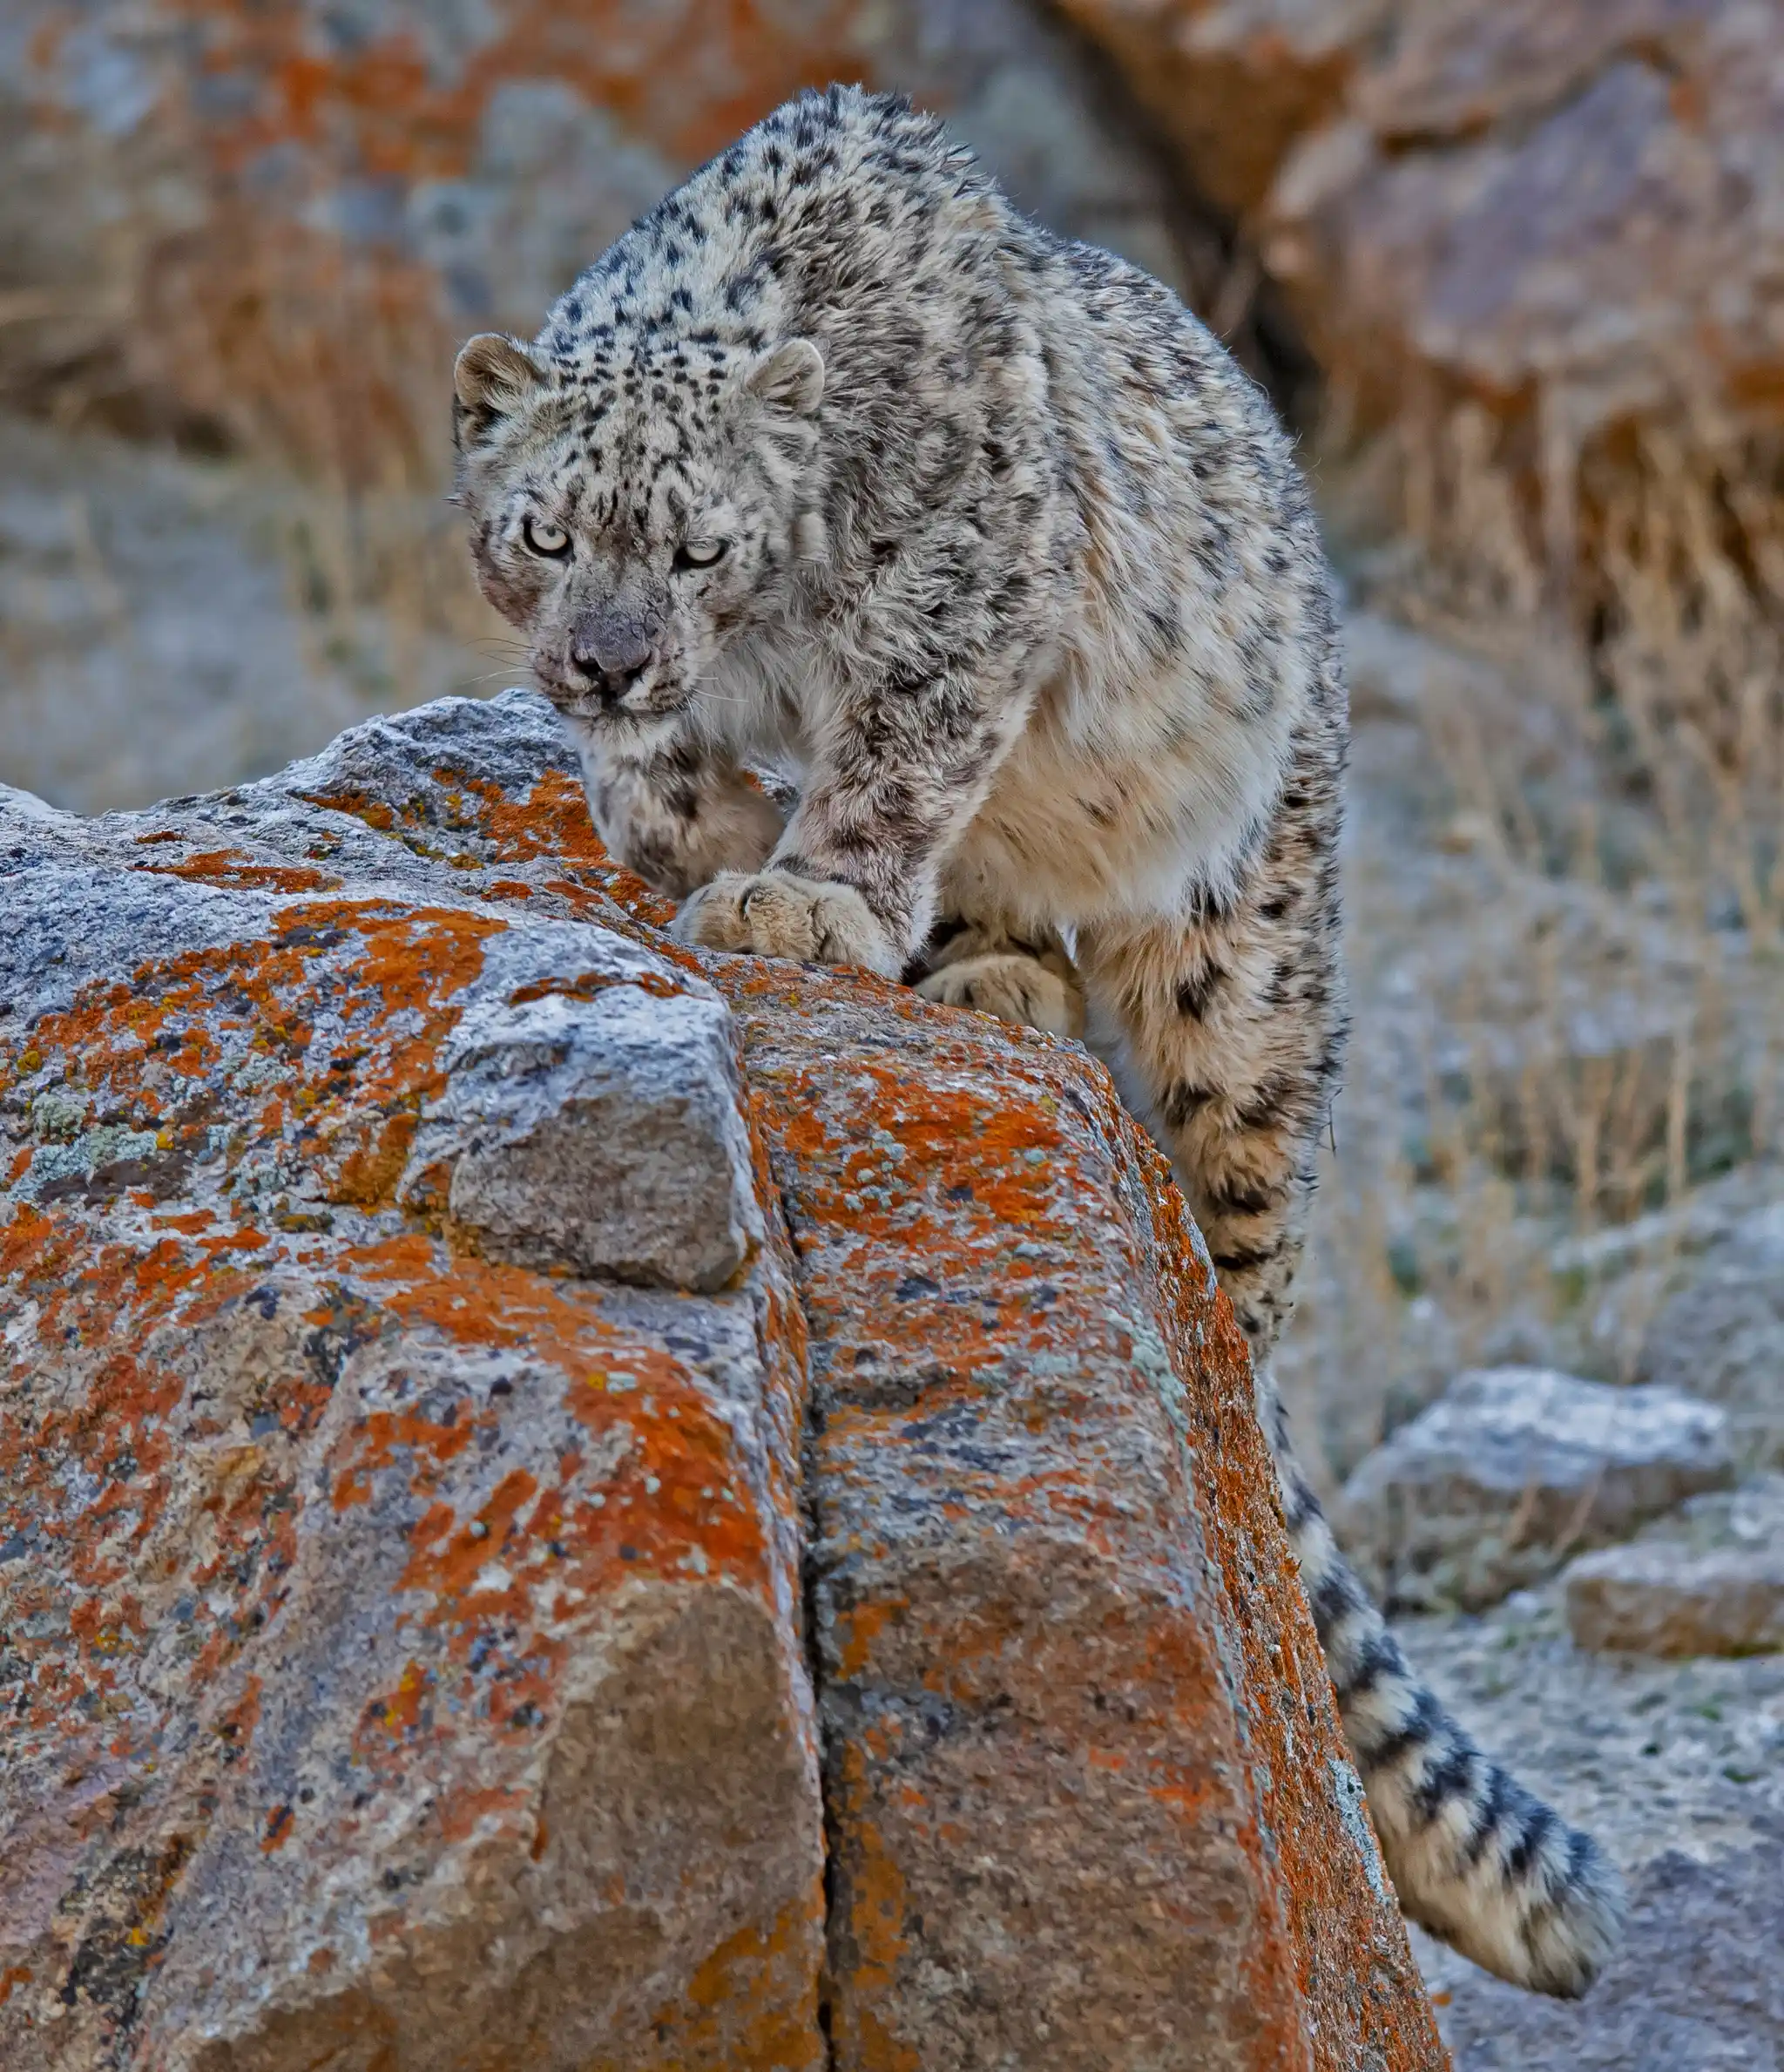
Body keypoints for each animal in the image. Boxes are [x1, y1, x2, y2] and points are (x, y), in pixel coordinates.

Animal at [451, 82, 1625, 1998]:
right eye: (546, 532)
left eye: (700, 542)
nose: (613, 662)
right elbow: (674, 789)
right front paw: (699, 827)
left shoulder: (961, 590)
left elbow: (900, 749)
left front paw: (803, 897)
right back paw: (991, 973)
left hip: (1249, 965)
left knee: (1250, 1252)